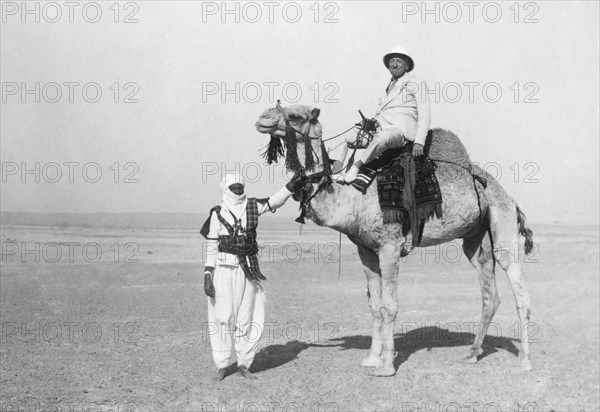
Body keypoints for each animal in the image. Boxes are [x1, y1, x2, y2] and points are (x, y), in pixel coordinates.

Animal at [253, 104, 536, 376]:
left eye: (295, 115)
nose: (262, 118)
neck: (350, 197)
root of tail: (509, 197)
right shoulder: (366, 250)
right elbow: (374, 305)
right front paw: (371, 359)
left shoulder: (390, 245)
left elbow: (389, 306)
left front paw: (386, 366)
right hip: (476, 238)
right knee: (489, 294)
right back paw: (472, 354)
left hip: (502, 219)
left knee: (519, 290)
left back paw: (524, 362)